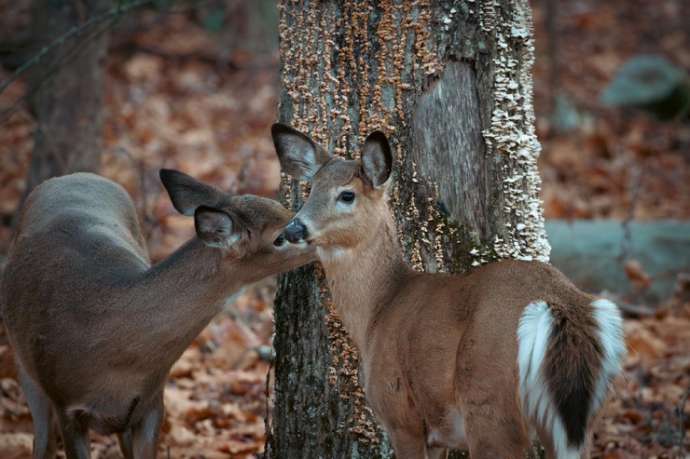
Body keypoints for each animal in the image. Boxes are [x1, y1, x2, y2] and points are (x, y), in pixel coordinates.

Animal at [0, 170, 314, 459]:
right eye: (279, 237)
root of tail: (72, 176)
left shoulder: (152, 402)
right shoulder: (65, 403)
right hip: (26, 369)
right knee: (42, 444)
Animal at [272, 123, 628, 459]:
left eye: (347, 195)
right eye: (310, 189)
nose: (293, 228)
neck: (379, 310)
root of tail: (561, 307)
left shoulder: (401, 414)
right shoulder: (437, 434)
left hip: (490, 405)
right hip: (579, 421)